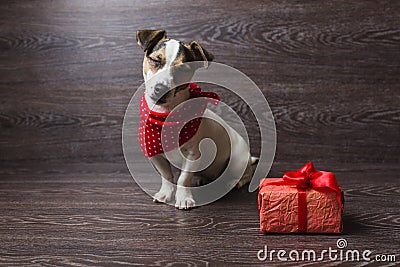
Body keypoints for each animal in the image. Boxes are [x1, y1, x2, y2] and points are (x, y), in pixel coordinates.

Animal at [137, 29, 256, 209]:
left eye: (183, 69)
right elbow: (167, 176)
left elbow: (183, 179)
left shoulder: (192, 156)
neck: (165, 116)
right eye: (155, 60)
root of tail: (249, 157)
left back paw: (235, 182)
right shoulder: (155, 155)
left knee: (246, 174)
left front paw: (184, 198)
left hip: (237, 162)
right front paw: (166, 193)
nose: (161, 88)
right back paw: (202, 179)